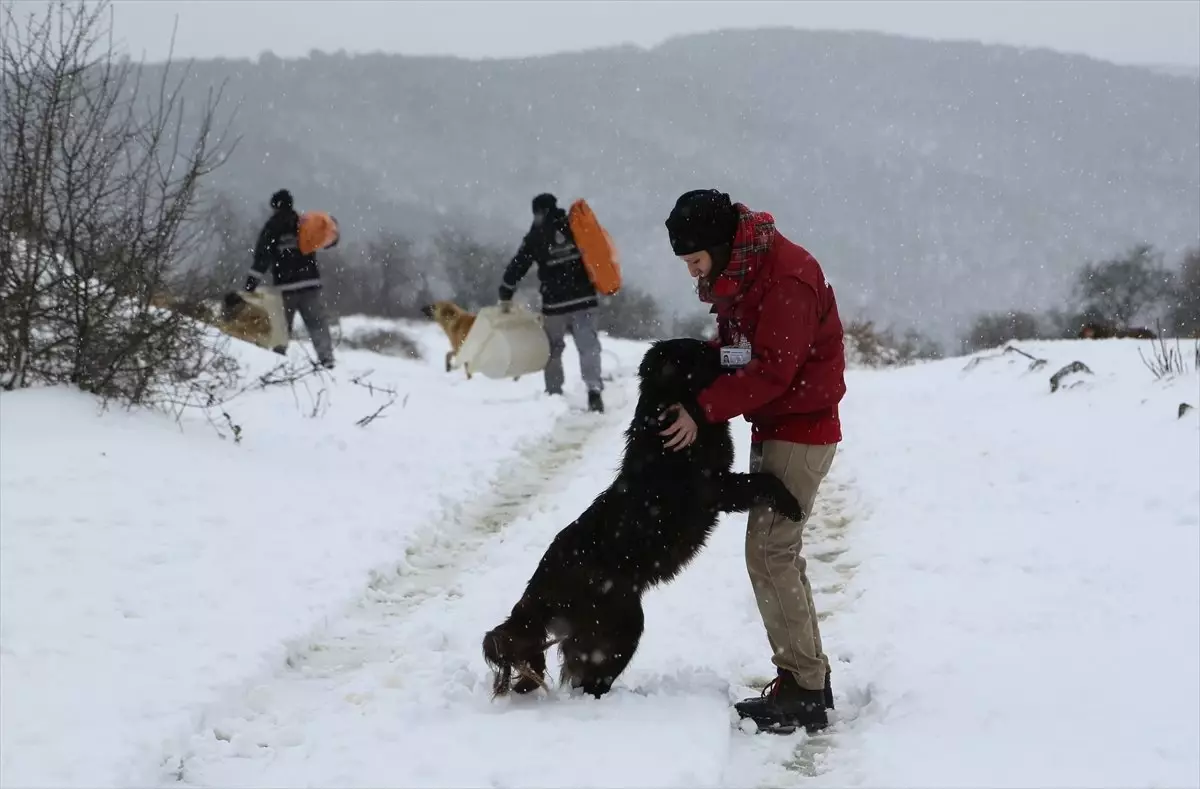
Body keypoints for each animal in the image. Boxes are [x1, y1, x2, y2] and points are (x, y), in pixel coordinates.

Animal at [480, 335, 806, 695]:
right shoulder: (715, 487)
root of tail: (539, 586)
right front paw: (791, 504)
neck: (668, 410)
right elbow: (763, 480)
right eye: (700, 352)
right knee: (590, 675)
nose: (736, 352)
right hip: (623, 622)